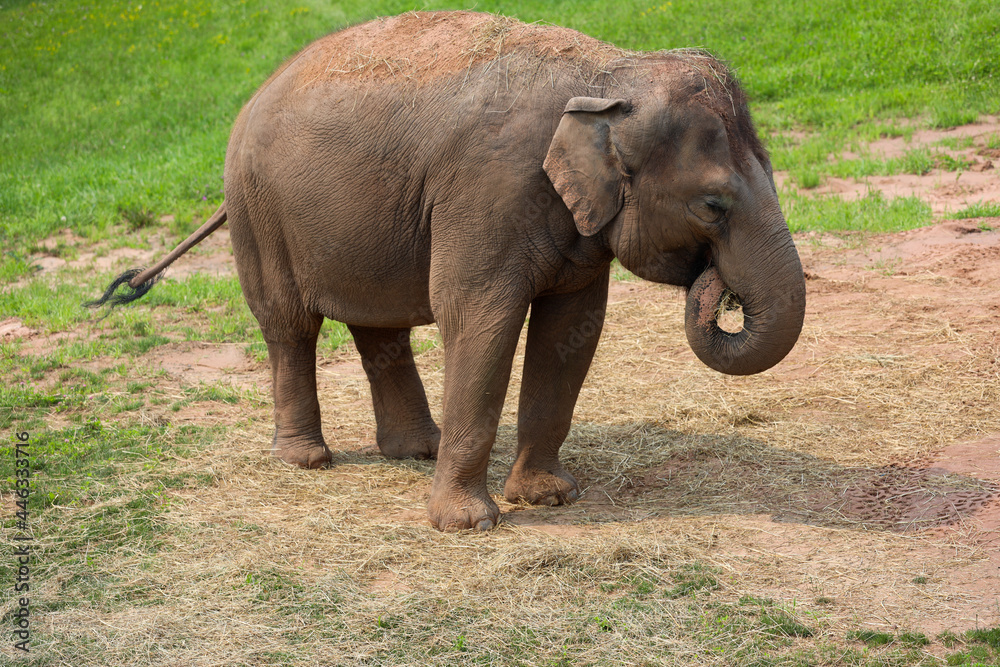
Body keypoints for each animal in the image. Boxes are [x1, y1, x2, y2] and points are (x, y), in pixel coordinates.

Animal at [89, 11, 806, 531]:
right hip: (258, 212)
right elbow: (479, 320)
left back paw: (415, 451)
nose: (715, 287)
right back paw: (307, 459)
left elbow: (572, 331)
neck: (606, 71)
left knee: (378, 327)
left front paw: (549, 497)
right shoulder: (487, 191)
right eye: (712, 205)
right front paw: (468, 525)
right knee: (289, 326)